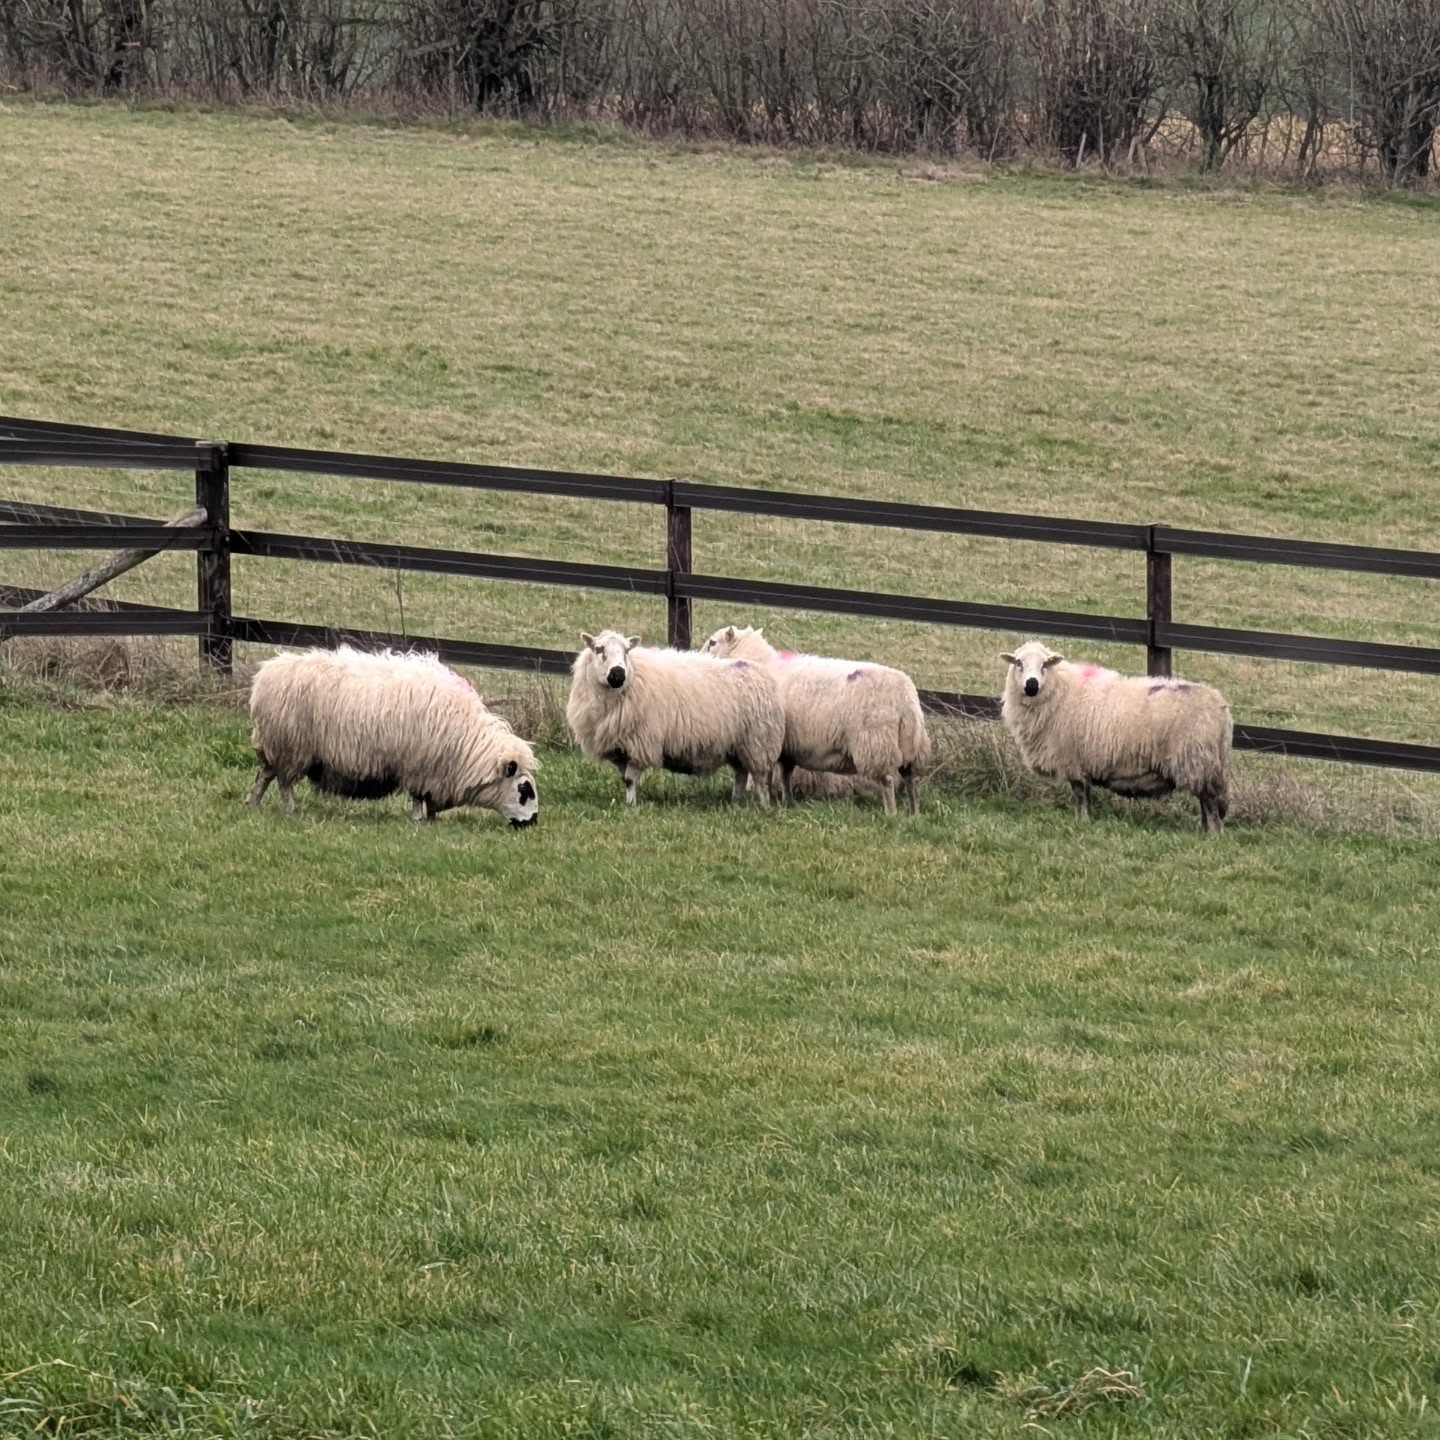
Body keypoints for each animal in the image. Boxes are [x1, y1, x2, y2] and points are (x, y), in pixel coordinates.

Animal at [246, 646, 539, 827]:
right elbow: (419, 796)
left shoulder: (435, 771)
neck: (467, 746)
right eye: (524, 790)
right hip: (290, 745)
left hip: (276, 745)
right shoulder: (421, 765)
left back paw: (252, 803)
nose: (533, 822)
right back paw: (290, 808)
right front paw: (419, 819)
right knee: (283, 781)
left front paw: (432, 817)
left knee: (265, 775)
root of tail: (267, 673)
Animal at [566, 630, 785, 807]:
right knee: (741, 775)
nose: (618, 674)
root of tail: (759, 671)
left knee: (759, 779)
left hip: (758, 742)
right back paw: (735, 802)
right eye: (598, 649)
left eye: (626, 651)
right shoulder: (621, 747)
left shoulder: (641, 743)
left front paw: (631, 806)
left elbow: (630, 779)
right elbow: (626, 779)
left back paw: (764, 806)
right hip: (738, 745)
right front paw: (628, 801)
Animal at [701, 625, 932, 816]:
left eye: (713, 642)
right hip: (913, 745)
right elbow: (785, 774)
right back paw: (914, 813)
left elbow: (767, 772)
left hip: (875, 743)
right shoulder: (788, 745)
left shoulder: (764, 737)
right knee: (913, 780)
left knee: (887, 780)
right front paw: (786, 801)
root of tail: (905, 697)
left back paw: (891, 813)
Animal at [999, 639, 1232, 834]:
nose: (1031, 685)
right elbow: (1083, 795)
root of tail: (1221, 706)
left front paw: (1082, 821)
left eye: (1045, 664)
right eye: (1018, 663)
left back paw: (1214, 834)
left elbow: (1080, 795)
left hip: (1197, 759)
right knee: (1205, 800)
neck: (1060, 691)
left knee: (1210, 801)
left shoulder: (1074, 761)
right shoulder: (1082, 762)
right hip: (1206, 763)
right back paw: (1203, 832)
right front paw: (1083, 820)